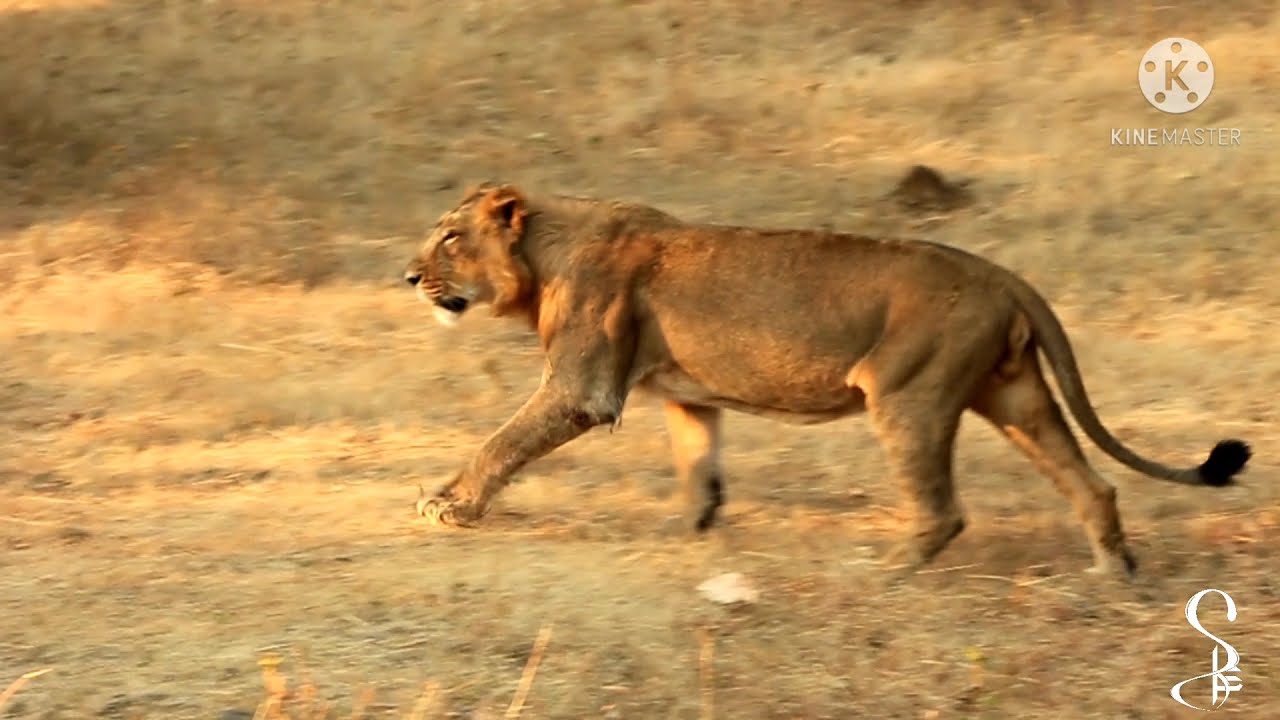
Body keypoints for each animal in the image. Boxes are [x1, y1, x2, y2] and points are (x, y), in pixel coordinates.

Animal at [401, 182, 1251, 579]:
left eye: (450, 237)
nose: (407, 277)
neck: (545, 254)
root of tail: (1003, 275)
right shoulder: (686, 395)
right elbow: (698, 467)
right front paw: (690, 532)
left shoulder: (583, 389)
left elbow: (501, 442)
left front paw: (448, 506)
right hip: (1014, 395)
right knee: (1092, 484)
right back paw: (1116, 573)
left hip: (909, 395)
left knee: (942, 511)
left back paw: (886, 573)